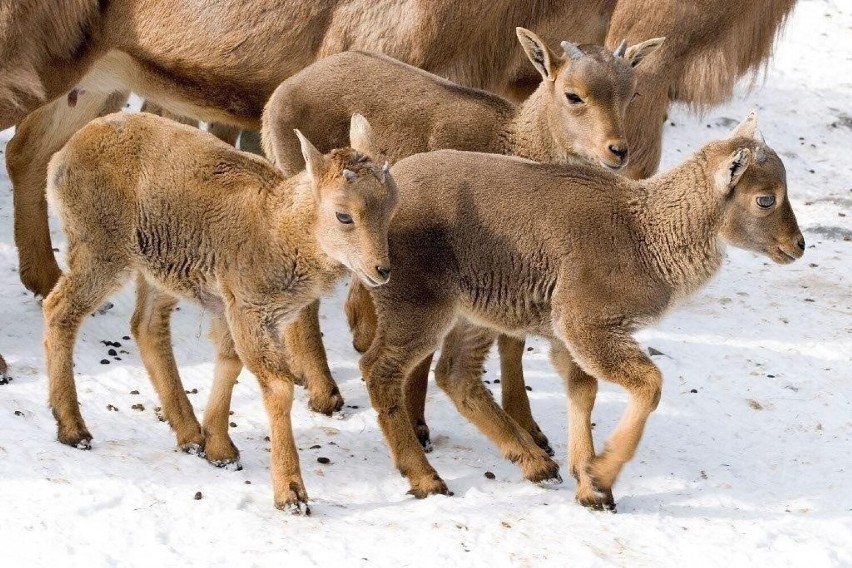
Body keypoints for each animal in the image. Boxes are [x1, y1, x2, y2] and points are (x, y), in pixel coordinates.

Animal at [41, 112, 398, 516]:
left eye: (391, 210)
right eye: (343, 215)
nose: (381, 269)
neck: (277, 228)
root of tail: (64, 154)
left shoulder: (231, 306)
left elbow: (229, 363)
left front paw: (220, 449)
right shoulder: (248, 308)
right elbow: (278, 387)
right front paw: (291, 494)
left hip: (158, 269)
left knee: (146, 326)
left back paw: (189, 434)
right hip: (100, 248)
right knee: (60, 309)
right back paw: (73, 428)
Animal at [262, 28, 664, 450]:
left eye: (631, 93)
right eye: (573, 94)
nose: (617, 151)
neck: (512, 141)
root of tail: (278, 97)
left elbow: (511, 342)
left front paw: (530, 427)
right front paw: (418, 424)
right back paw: (324, 391)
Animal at [354, 112, 804, 510]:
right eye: (765, 199)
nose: (798, 245)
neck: (644, 234)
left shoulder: (569, 337)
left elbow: (582, 391)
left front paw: (588, 486)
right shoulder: (586, 324)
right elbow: (649, 384)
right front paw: (602, 477)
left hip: (472, 313)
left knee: (456, 374)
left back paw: (536, 465)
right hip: (417, 307)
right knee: (380, 370)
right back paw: (426, 479)